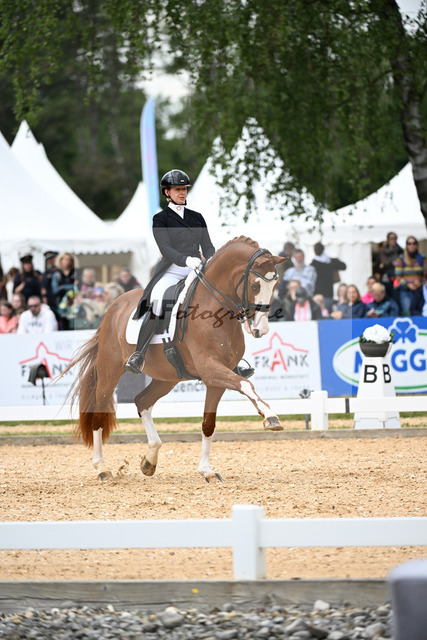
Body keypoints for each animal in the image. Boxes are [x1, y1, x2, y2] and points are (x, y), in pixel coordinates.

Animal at [66, 236, 287, 482]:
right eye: (255, 285)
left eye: (274, 286)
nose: (261, 330)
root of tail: (114, 306)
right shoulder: (210, 369)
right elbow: (246, 384)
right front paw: (270, 417)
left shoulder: (216, 378)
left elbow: (209, 424)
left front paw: (207, 471)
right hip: (109, 370)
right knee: (99, 413)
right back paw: (102, 468)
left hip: (167, 378)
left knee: (142, 401)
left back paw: (149, 460)